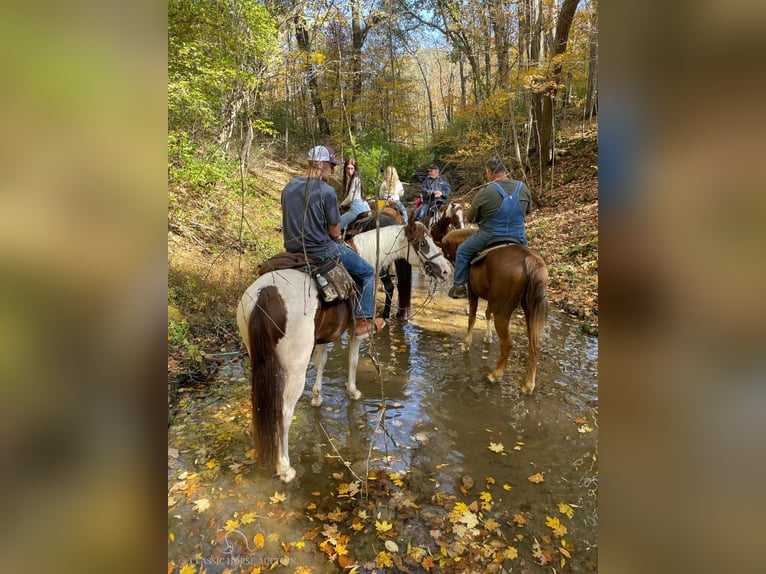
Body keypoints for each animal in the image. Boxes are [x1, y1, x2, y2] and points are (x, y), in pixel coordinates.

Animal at [236, 222, 450, 486]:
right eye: (422, 243)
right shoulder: (355, 330)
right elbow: (354, 360)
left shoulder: (324, 337)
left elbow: (322, 361)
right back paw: (285, 468)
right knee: (283, 412)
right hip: (294, 368)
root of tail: (267, 293)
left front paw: (317, 397)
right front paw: (353, 391)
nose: (445, 271)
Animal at [440, 227, 548, 394]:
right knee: (535, 345)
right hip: (531, 311)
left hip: (502, 312)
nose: (448, 269)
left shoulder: (473, 292)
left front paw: (466, 343)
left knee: (508, 343)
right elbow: (486, 313)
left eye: (446, 253)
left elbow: (472, 316)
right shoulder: (491, 300)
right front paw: (488, 337)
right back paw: (528, 385)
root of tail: (528, 259)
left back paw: (495, 375)